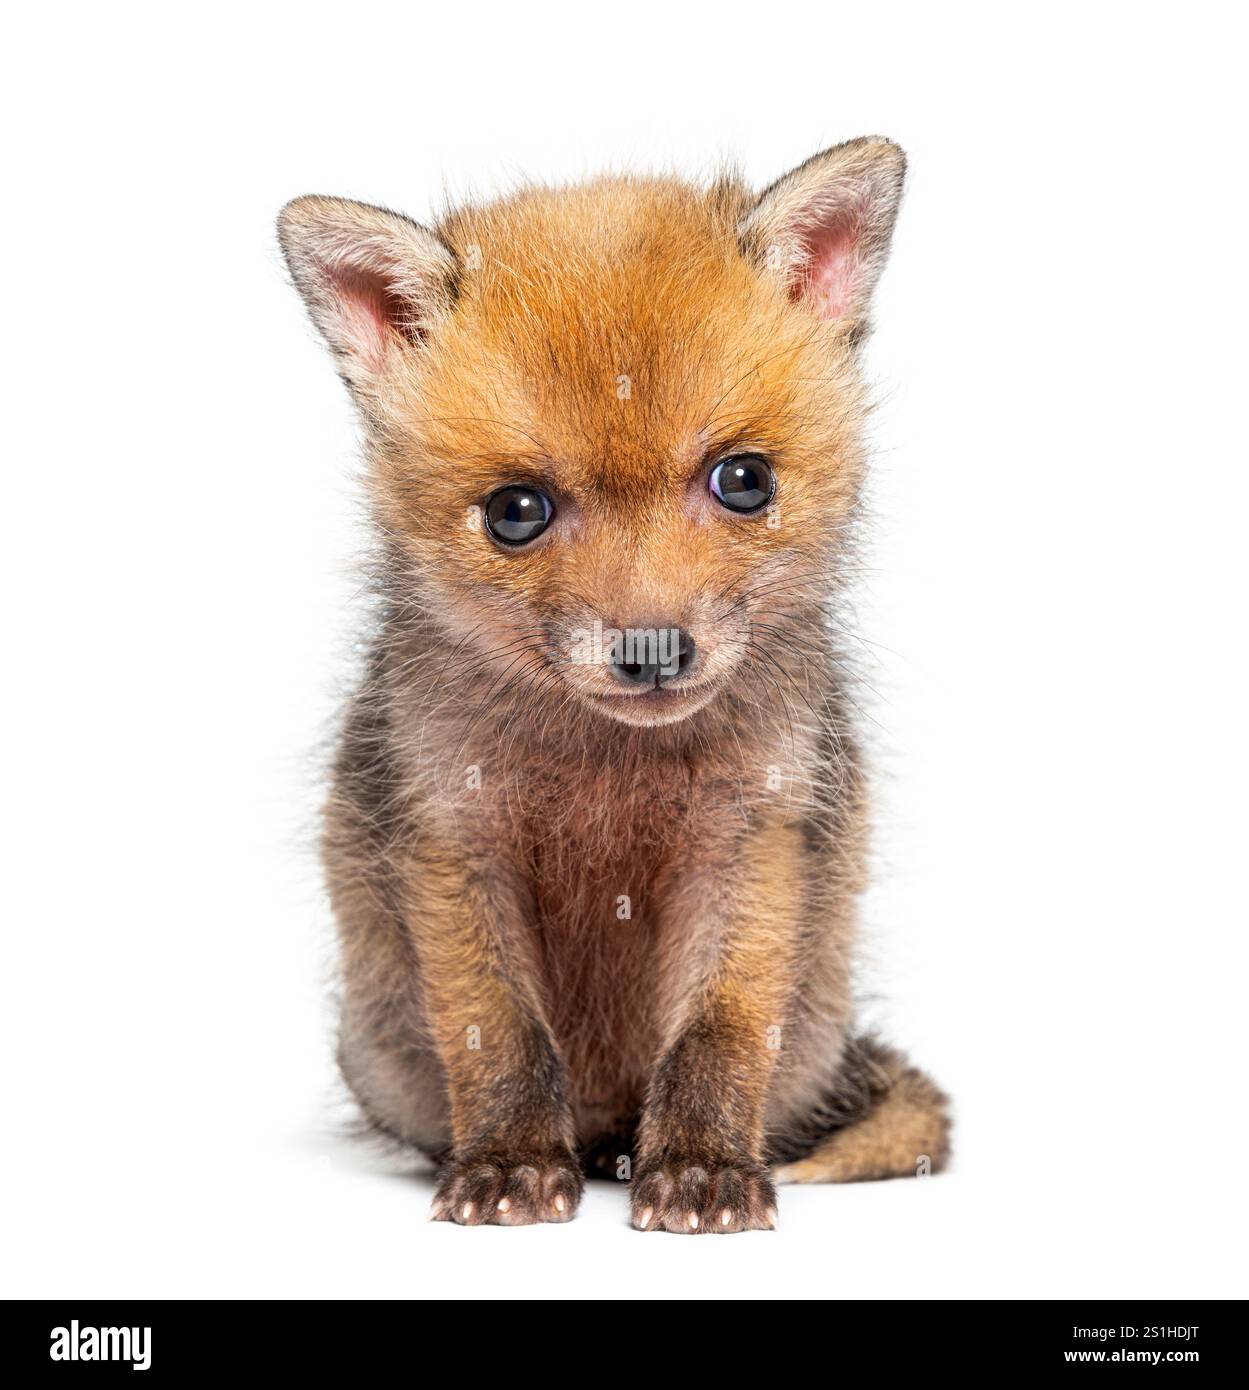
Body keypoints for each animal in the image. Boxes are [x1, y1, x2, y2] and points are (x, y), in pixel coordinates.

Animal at [278, 136, 950, 1233]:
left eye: (743, 481)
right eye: (516, 511)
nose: (652, 649)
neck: (609, 771)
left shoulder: (752, 837)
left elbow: (718, 1034)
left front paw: (704, 1167)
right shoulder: (450, 836)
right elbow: (496, 1028)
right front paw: (509, 1162)